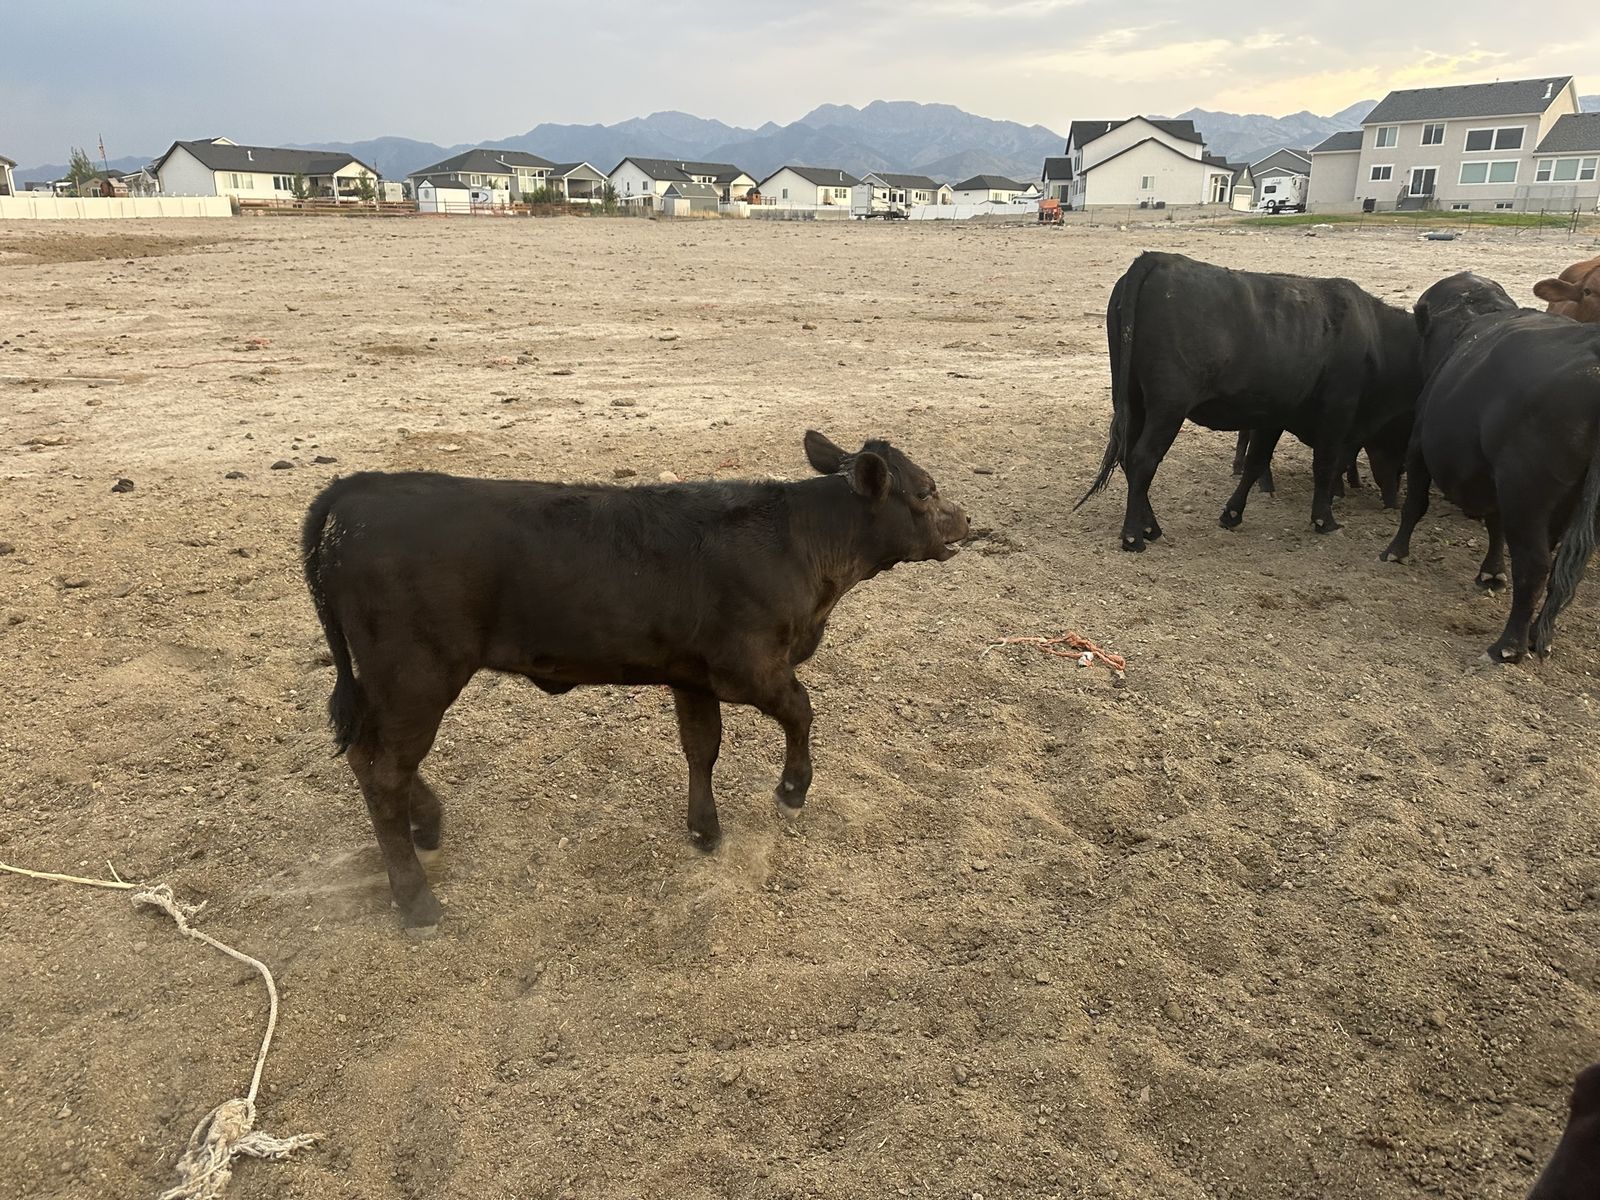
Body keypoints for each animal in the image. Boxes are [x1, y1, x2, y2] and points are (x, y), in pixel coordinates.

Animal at [301, 432, 970, 927]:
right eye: (927, 490)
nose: (965, 518)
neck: (798, 543)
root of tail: (358, 490)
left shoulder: (692, 674)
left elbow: (701, 746)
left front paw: (704, 827)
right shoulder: (750, 668)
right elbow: (802, 710)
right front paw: (791, 789)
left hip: (390, 685)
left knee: (368, 758)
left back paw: (428, 822)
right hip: (416, 678)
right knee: (385, 773)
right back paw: (416, 899)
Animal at [1077, 252, 1422, 551]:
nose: (1394, 501)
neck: (1377, 336)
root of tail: (1156, 258)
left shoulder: (1275, 415)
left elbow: (1256, 462)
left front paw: (1232, 514)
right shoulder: (1338, 412)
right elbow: (1326, 465)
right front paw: (1325, 521)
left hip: (1134, 400)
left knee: (1128, 456)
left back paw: (1151, 527)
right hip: (1168, 407)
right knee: (1142, 459)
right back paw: (1134, 536)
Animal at [1380, 272, 1600, 662]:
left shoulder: (1418, 448)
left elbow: (1414, 506)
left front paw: (1395, 551)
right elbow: (1495, 528)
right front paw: (1491, 573)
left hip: (1525, 494)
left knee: (1535, 566)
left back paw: (1508, 646)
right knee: (1563, 571)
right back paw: (1537, 636)